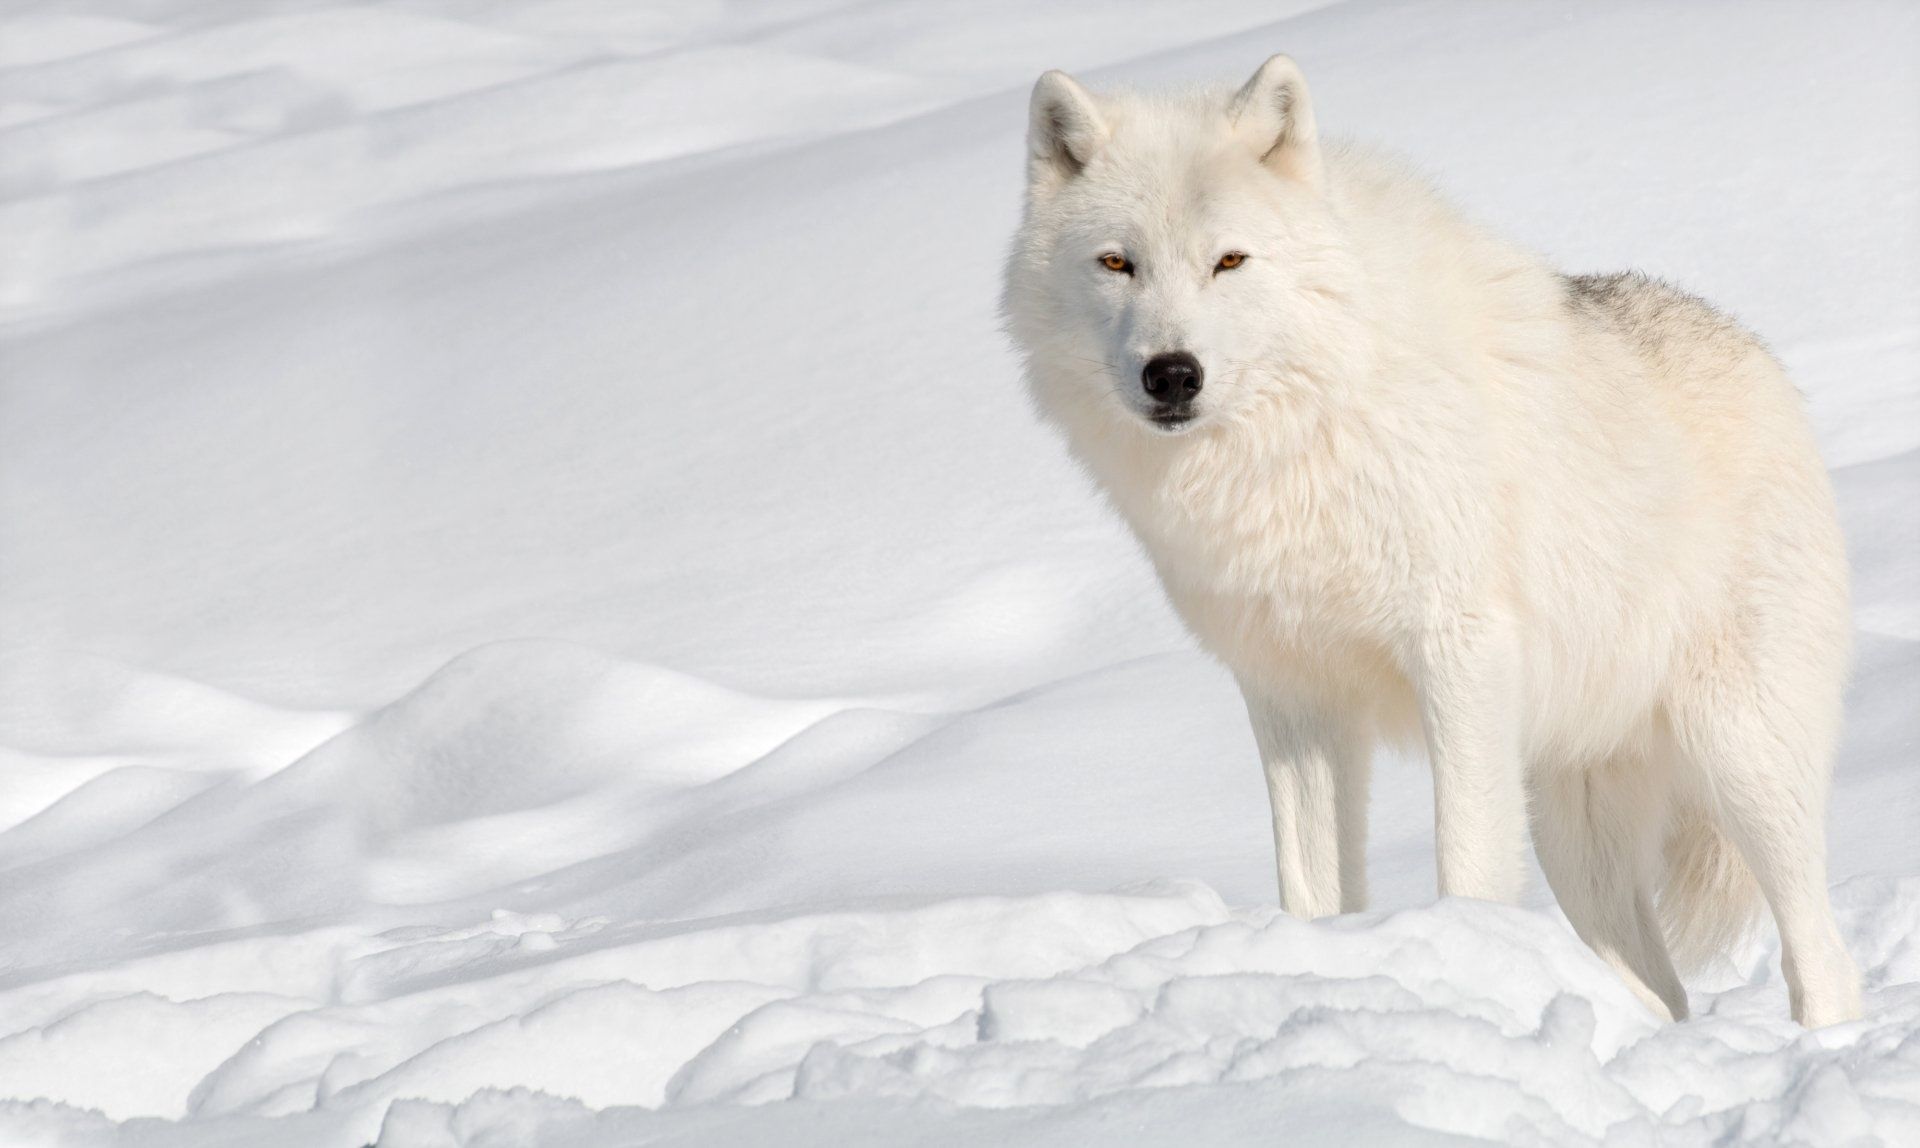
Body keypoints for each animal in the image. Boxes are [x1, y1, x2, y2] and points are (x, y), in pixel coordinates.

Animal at [1002, 56, 1860, 1026]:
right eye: (1118, 263)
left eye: (1229, 260)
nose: (1172, 374)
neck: (1300, 439)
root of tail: (1763, 361)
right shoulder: (1292, 696)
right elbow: (1313, 887)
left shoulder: (1459, 654)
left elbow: (1468, 860)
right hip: (1578, 836)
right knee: (1660, 991)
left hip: (1742, 760)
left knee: (1822, 956)